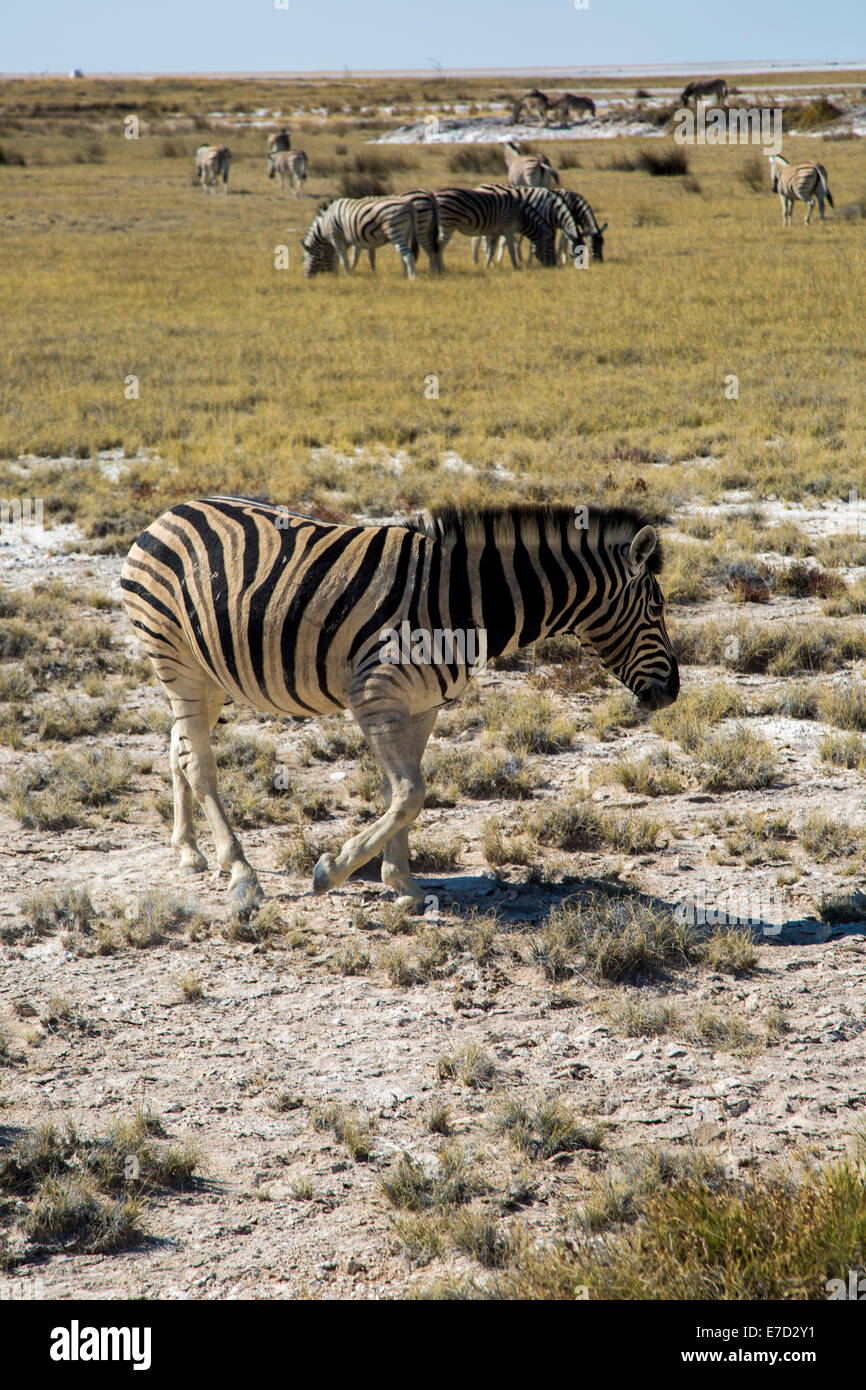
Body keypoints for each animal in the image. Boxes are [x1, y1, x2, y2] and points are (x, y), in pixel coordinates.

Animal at [120, 498, 679, 915]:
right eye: (656, 609)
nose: (672, 693)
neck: (464, 602)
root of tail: (169, 513)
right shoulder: (373, 694)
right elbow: (410, 793)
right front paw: (333, 870)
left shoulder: (422, 705)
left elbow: (403, 794)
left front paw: (402, 884)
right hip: (177, 658)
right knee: (198, 762)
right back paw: (240, 873)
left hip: (209, 672)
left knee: (178, 747)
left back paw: (190, 851)